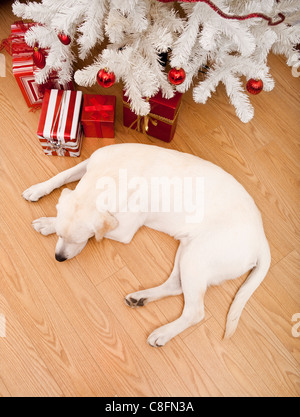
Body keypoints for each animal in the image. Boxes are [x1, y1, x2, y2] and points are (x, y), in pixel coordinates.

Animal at [22, 142, 270, 344]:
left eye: (78, 240)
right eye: (61, 237)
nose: (59, 258)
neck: (111, 176)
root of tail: (262, 239)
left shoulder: (124, 230)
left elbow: (98, 232)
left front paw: (48, 222)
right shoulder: (89, 162)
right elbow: (63, 175)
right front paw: (38, 190)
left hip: (197, 257)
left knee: (195, 311)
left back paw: (163, 333)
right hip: (187, 250)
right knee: (176, 286)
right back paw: (141, 298)